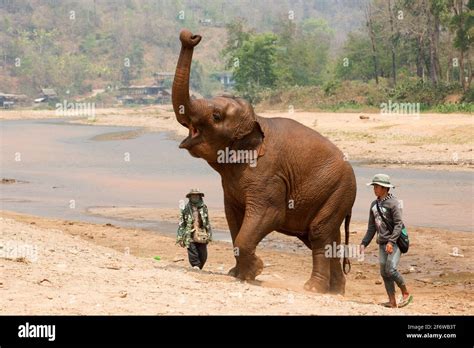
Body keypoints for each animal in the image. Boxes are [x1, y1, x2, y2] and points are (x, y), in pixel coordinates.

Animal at [171, 28, 356, 294]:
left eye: (216, 116)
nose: (191, 36)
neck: (256, 120)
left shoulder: (268, 176)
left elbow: (268, 215)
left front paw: (254, 272)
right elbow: (233, 218)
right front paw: (237, 275)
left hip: (339, 190)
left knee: (319, 233)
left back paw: (313, 289)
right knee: (329, 236)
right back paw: (336, 291)